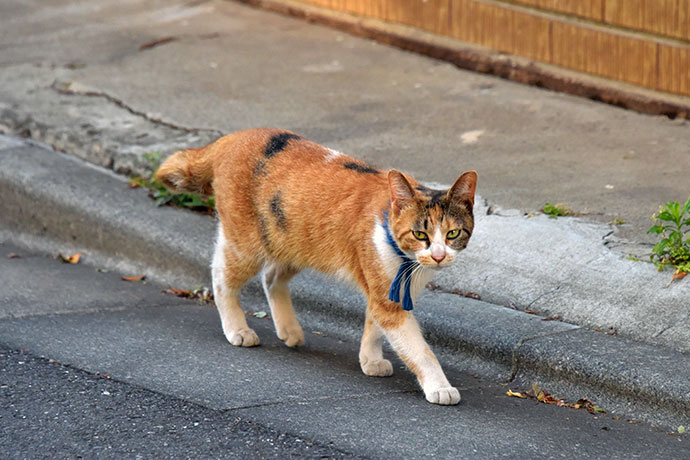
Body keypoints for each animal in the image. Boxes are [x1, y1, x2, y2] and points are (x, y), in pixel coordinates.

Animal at [156, 128, 476, 406]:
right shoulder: (386, 296)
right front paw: (440, 387)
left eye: (452, 234)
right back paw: (238, 329)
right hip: (245, 244)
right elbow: (420, 350)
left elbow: (373, 324)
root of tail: (234, 137)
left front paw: (370, 360)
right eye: (420, 234)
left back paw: (289, 330)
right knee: (221, 276)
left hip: (293, 243)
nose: (438, 256)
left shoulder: (383, 289)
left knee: (271, 277)